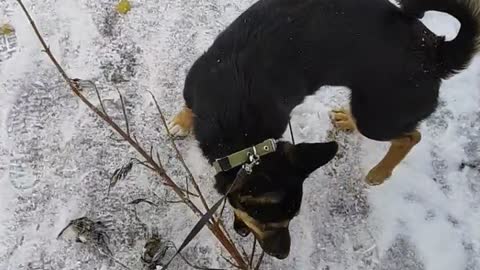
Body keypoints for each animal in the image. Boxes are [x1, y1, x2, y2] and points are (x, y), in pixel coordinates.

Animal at [168, 0, 480, 260]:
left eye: (289, 221)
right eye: (266, 222)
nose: (283, 255)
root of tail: (436, 53)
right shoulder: (195, 86)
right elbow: (187, 107)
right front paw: (181, 122)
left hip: (377, 117)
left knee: (411, 136)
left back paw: (379, 172)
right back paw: (348, 121)